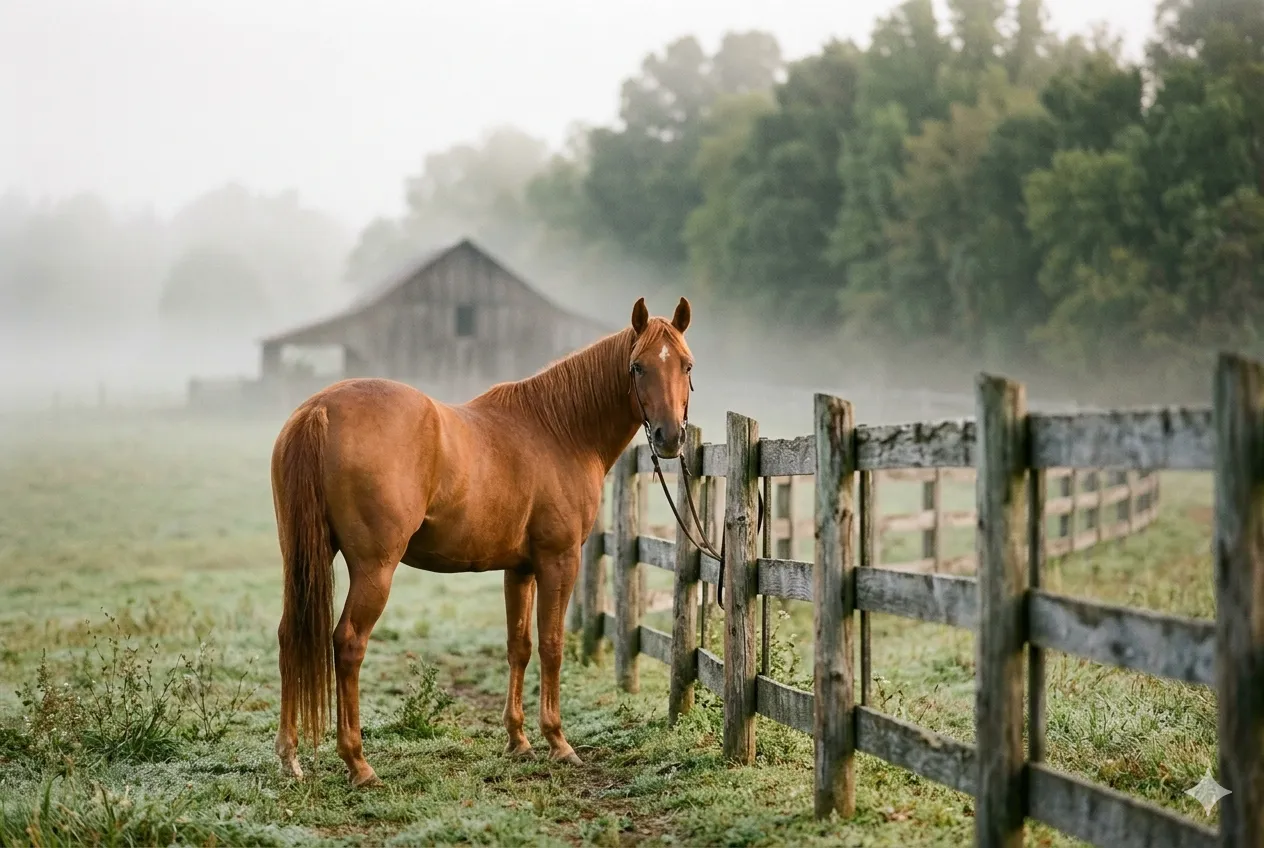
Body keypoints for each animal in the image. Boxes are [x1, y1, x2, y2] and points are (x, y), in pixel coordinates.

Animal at [270, 296, 695, 787]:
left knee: (290, 635)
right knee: (348, 644)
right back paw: (358, 762)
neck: (560, 428)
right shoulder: (559, 560)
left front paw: (519, 740)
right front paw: (558, 741)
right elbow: (551, 645)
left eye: (685, 364)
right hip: (374, 569)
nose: (669, 437)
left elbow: (519, 646)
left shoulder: (520, 568)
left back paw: (289, 756)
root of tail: (320, 409)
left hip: (303, 559)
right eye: (638, 366)